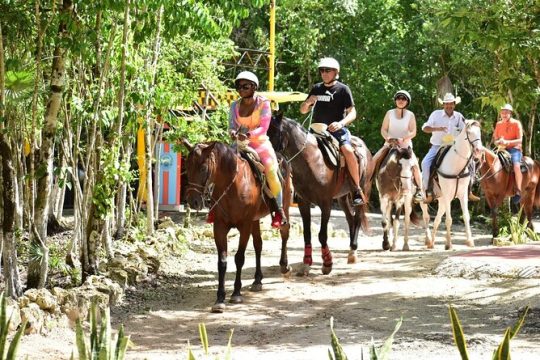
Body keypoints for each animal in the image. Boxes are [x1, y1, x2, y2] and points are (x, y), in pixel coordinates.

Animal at [184, 141, 292, 312]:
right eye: (187, 166)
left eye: (203, 168)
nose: (192, 201)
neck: (233, 185)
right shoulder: (220, 227)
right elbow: (222, 262)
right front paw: (220, 298)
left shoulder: (245, 225)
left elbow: (239, 258)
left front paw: (236, 293)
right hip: (255, 220)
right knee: (258, 245)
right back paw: (257, 280)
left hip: (284, 207)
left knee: (284, 233)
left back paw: (284, 265)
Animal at [268, 114, 374, 274]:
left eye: (274, 133)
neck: (312, 160)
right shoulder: (304, 203)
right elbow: (307, 233)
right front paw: (306, 263)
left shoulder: (326, 203)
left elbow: (322, 235)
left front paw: (327, 264)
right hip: (342, 197)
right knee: (350, 219)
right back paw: (350, 248)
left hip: (362, 190)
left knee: (357, 218)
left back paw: (353, 252)